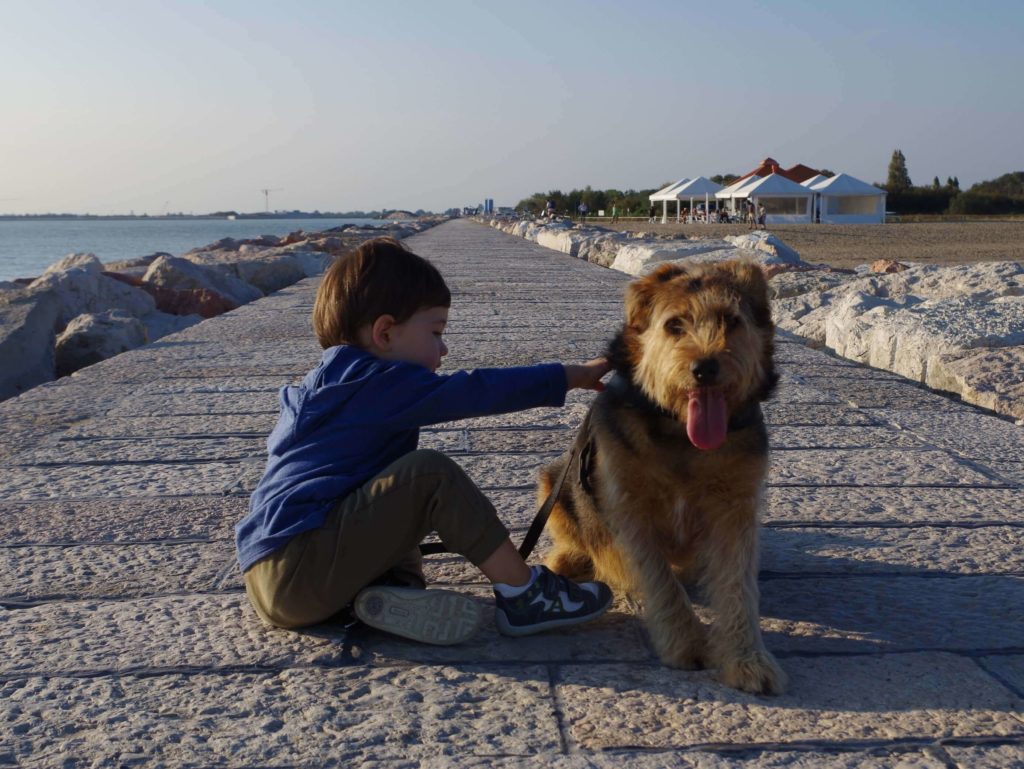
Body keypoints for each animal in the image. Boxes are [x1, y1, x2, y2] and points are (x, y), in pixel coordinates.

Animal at [540, 260, 786, 696]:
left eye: (732, 321)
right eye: (674, 325)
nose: (705, 368)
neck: (680, 434)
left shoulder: (736, 509)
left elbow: (739, 585)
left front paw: (747, 659)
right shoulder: (629, 506)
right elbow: (659, 579)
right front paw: (687, 643)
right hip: (552, 483)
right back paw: (567, 560)